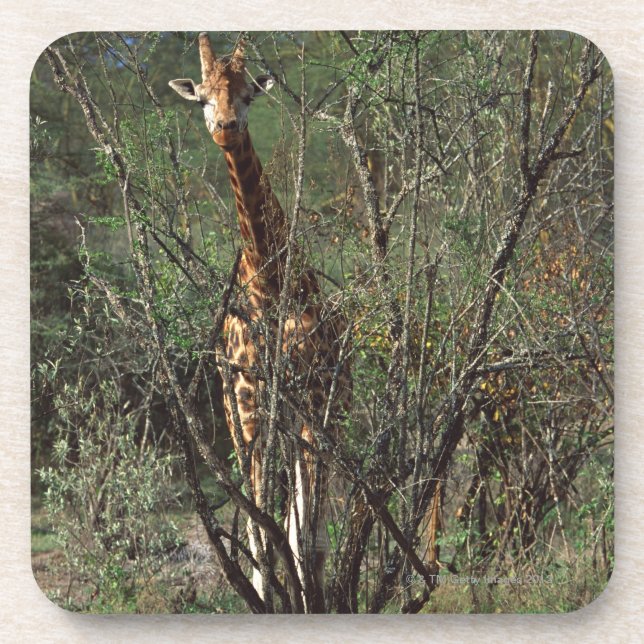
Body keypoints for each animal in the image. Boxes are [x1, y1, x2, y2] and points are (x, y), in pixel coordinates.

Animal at [169, 32, 350, 613]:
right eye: (203, 97)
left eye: (248, 93)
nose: (226, 127)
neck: (269, 289)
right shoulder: (250, 411)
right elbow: (262, 533)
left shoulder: (314, 405)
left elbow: (307, 539)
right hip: (242, 420)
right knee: (269, 526)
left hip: (316, 419)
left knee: (301, 528)